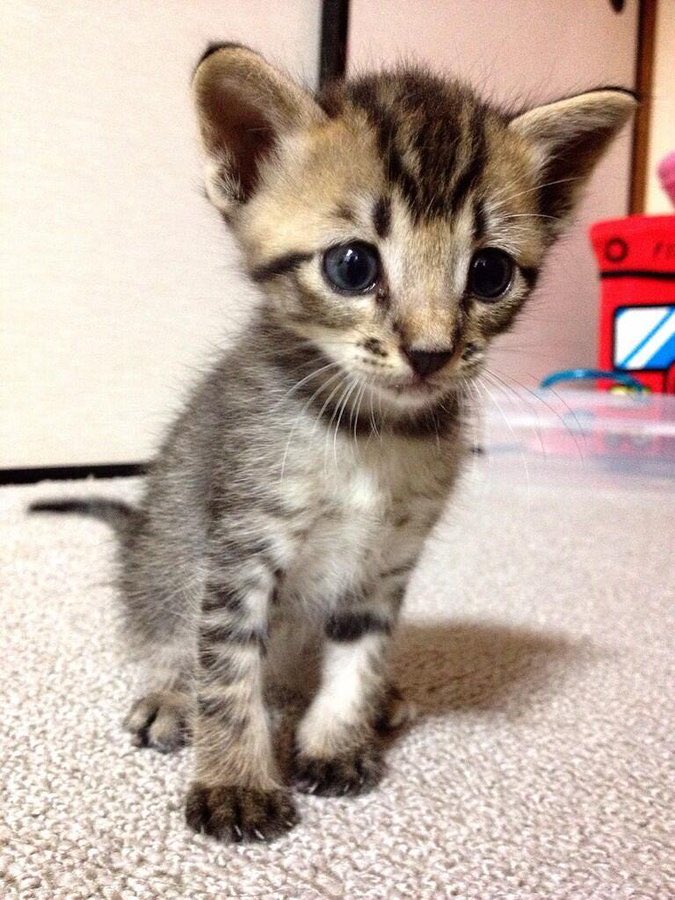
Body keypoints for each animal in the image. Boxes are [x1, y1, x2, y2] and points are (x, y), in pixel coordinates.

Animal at [31, 43, 635, 843]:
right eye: (352, 265)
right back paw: (169, 696)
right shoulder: (241, 547)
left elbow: (360, 653)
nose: (431, 353)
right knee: (165, 632)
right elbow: (226, 671)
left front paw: (337, 741)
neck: (370, 435)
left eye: (489, 271)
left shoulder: (386, 561)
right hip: (164, 563)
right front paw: (236, 781)